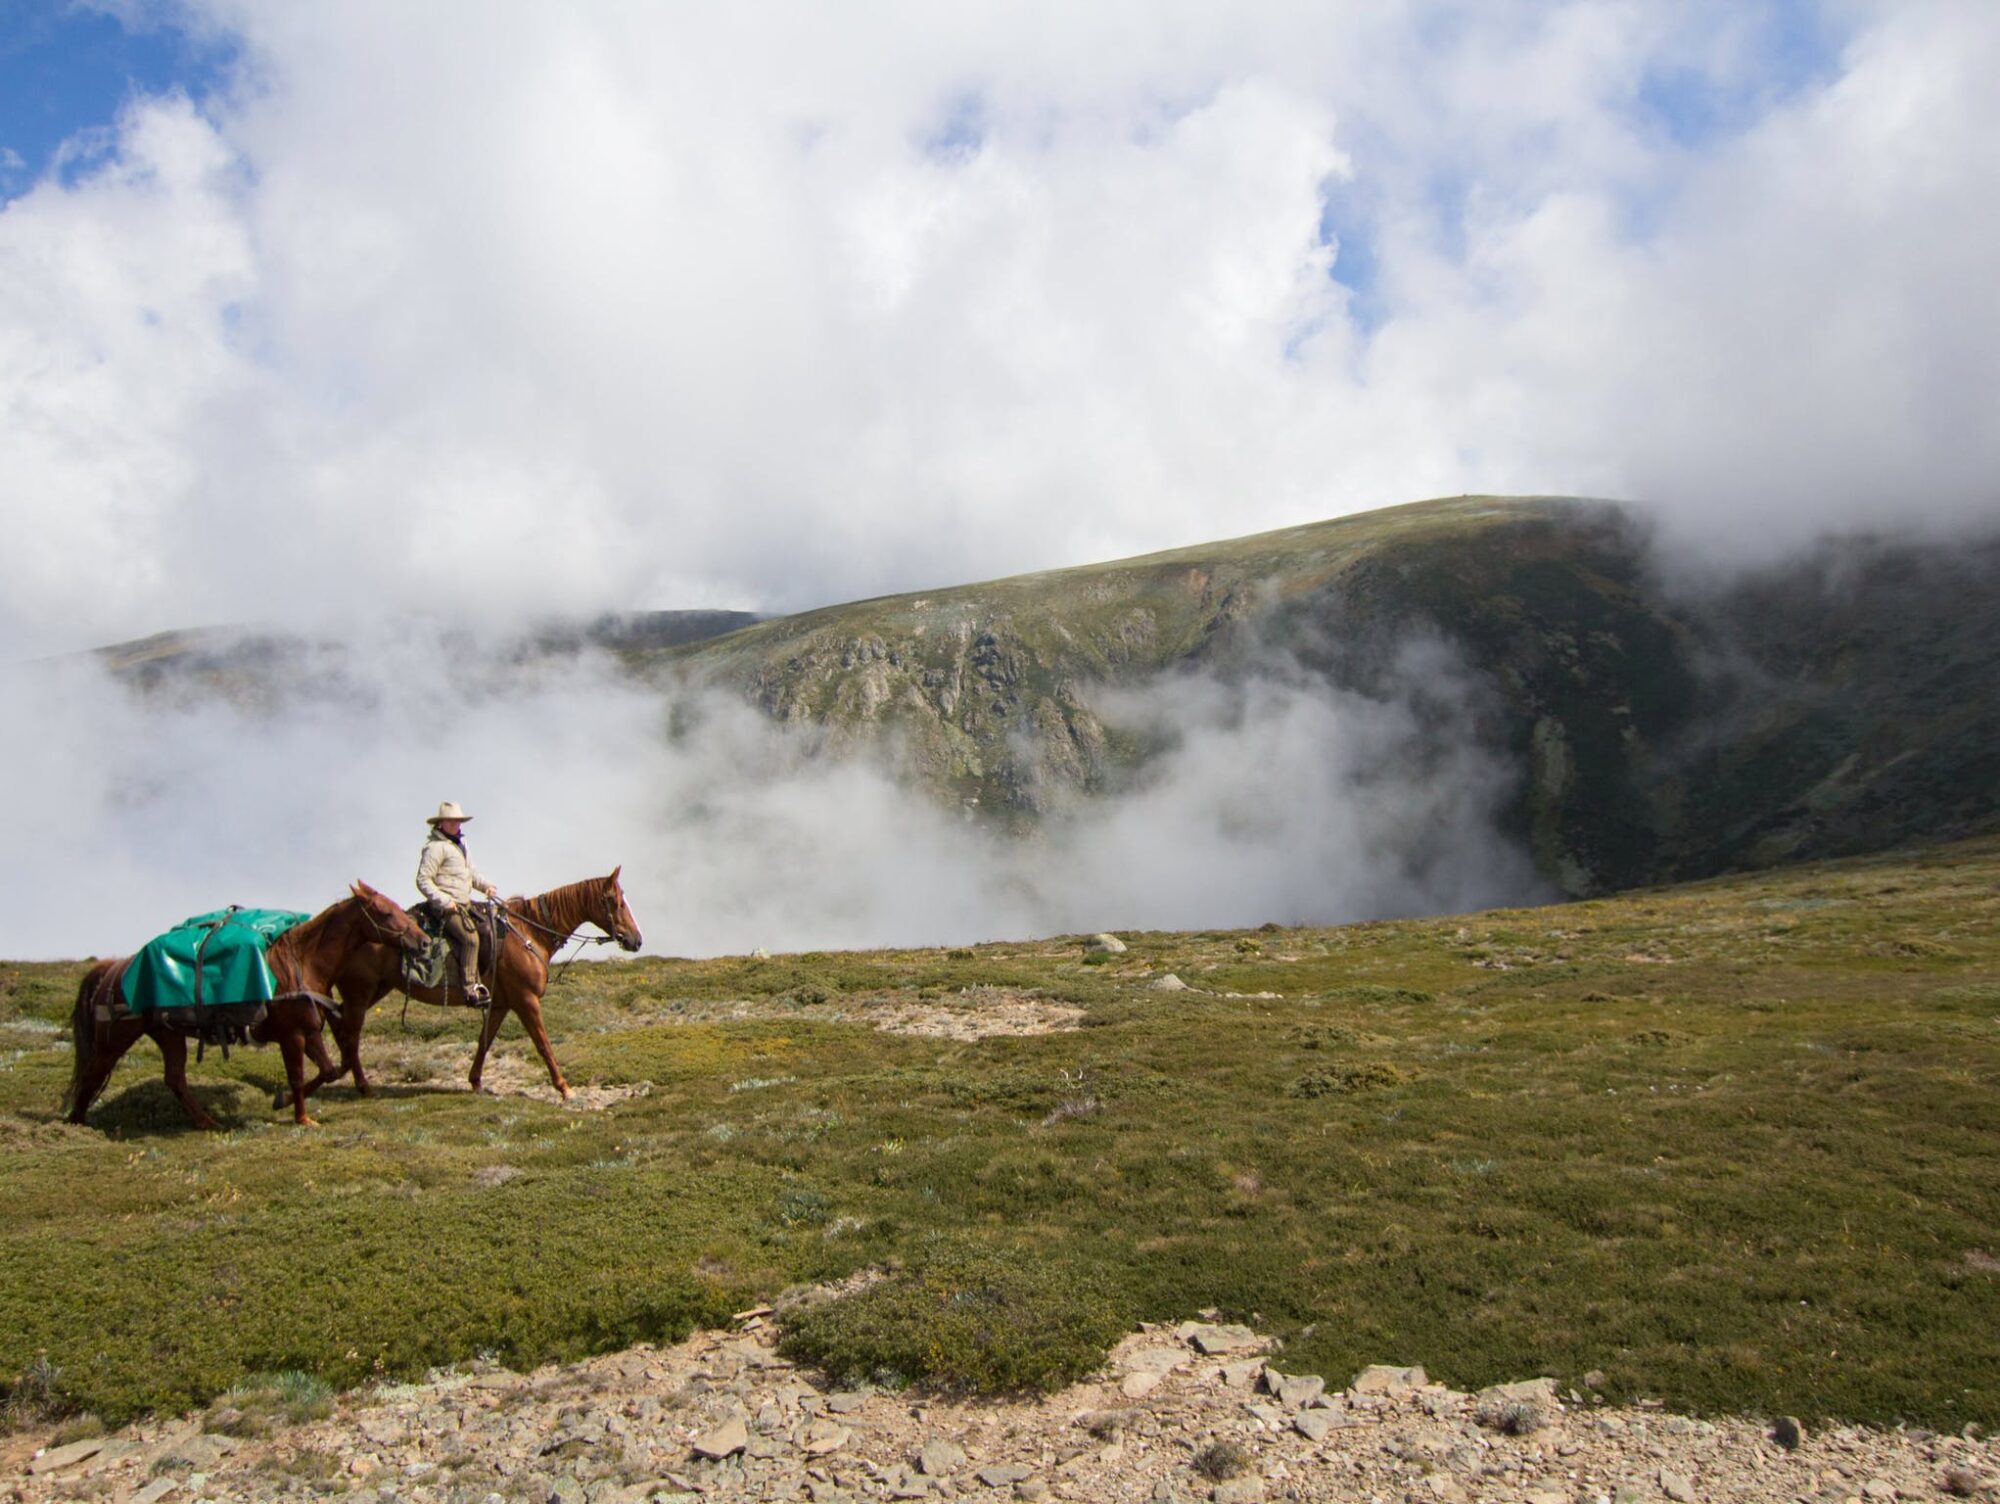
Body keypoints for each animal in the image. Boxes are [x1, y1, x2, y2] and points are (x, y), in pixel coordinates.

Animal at [66, 880, 430, 1128]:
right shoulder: (292, 1035)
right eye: (385, 912)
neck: (303, 961)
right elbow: (298, 1075)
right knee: (93, 1073)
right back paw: (76, 1123)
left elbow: (326, 1071)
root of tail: (115, 969)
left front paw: (282, 1102)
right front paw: (301, 1117)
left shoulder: (310, 1029)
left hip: (169, 1034)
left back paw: (207, 1122)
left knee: (175, 1079)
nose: (424, 941)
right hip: (115, 1038)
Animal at [290, 868, 640, 1104]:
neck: (529, 933)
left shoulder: (500, 1004)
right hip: (360, 994)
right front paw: (564, 1087)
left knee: (341, 1030)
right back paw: (362, 1086)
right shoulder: (526, 1001)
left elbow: (485, 1041)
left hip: (374, 990)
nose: (636, 940)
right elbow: (543, 1044)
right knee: (349, 1037)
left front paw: (475, 1082)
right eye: (616, 901)